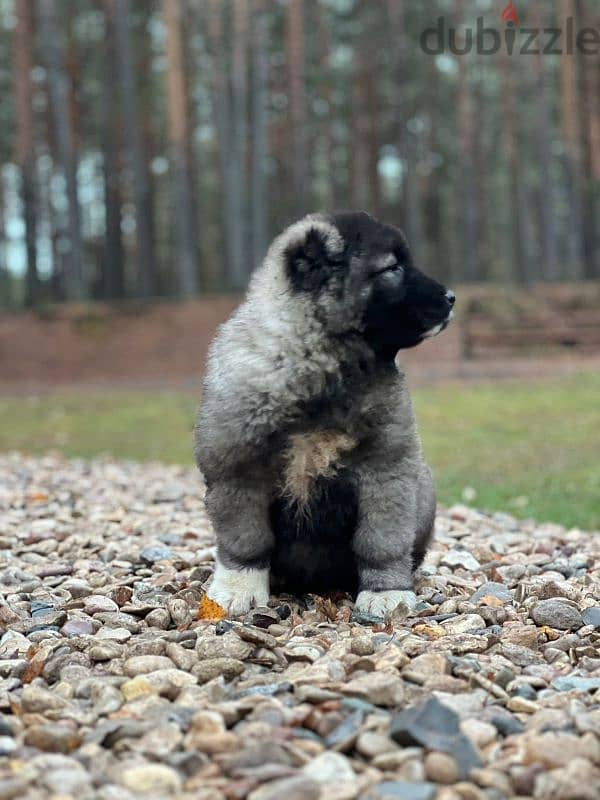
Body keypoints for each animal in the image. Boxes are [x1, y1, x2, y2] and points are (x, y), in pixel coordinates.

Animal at [197, 211, 454, 620]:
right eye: (393, 268)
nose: (451, 298)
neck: (319, 365)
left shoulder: (386, 469)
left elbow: (381, 540)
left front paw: (385, 591)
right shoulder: (237, 470)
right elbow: (245, 540)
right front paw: (238, 587)